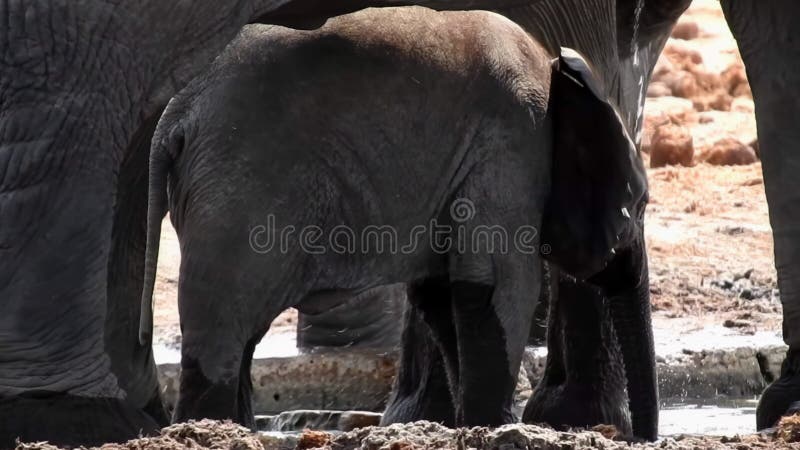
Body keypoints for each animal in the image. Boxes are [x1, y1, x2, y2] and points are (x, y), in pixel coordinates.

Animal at [141, 6, 648, 428]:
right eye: (640, 202)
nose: (641, 438)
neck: (558, 73)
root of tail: (175, 117)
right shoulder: (512, 150)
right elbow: (500, 285)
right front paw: (497, 427)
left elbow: (442, 295)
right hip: (237, 195)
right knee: (223, 331)